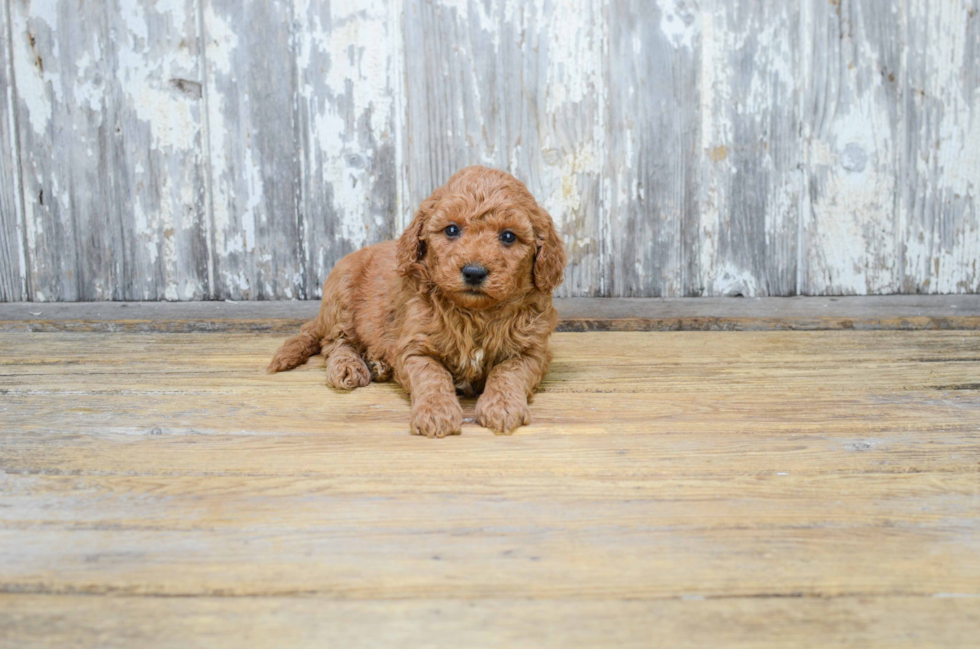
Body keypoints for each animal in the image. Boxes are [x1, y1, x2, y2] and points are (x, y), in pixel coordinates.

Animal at [268, 165, 568, 438]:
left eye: (508, 236)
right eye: (451, 230)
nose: (474, 272)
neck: (475, 314)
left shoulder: (532, 350)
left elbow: (509, 371)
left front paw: (502, 406)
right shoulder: (413, 346)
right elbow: (432, 374)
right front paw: (436, 412)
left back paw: (377, 364)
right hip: (341, 295)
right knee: (335, 342)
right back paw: (348, 366)